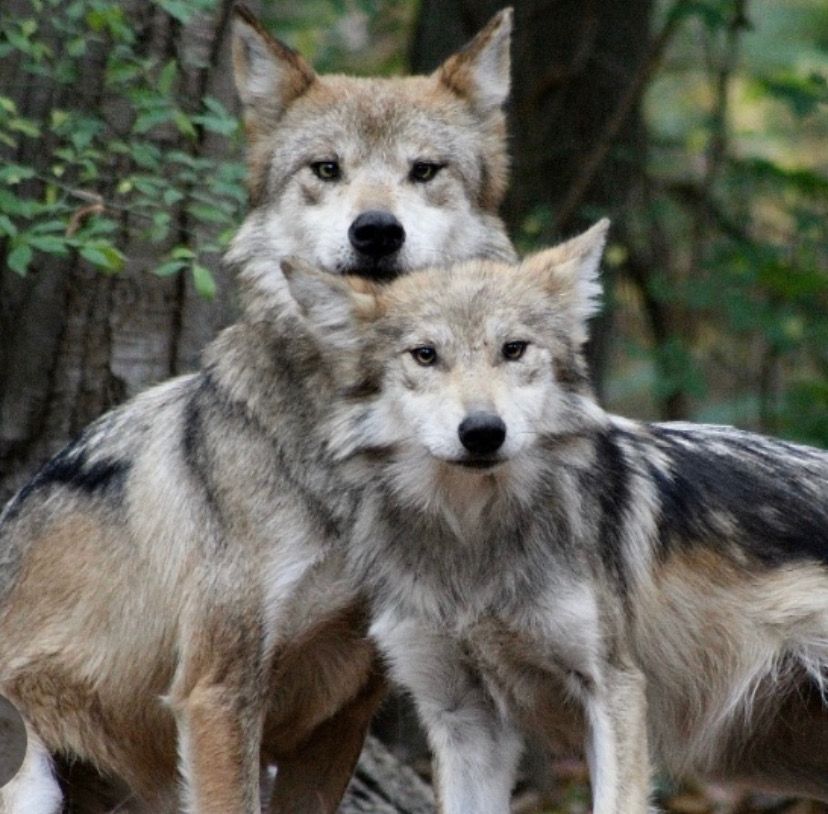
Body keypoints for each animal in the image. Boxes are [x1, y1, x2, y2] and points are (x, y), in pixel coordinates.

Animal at [0, 7, 515, 813]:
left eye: (425, 170)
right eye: (326, 169)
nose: (375, 229)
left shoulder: (345, 713)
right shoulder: (218, 691)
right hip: (30, 775)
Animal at [281, 221, 828, 814]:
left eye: (514, 349)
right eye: (424, 355)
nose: (483, 431)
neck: (474, 539)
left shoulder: (614, 690)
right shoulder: (462, 716)